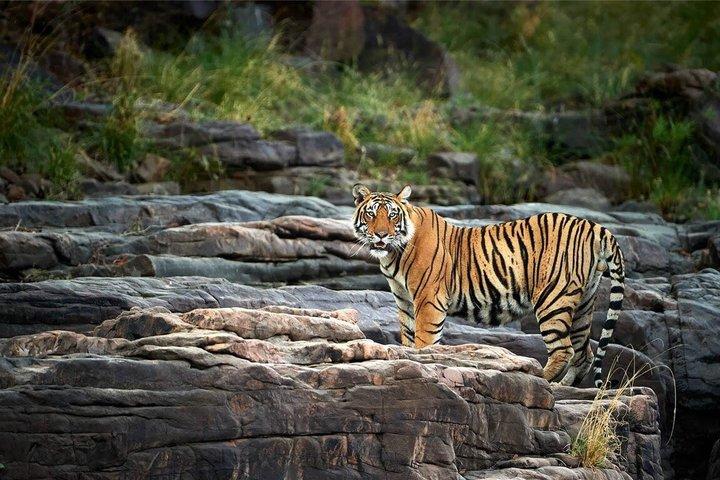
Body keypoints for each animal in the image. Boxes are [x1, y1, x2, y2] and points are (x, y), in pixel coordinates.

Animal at [351, 183, 625, 387]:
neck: (393, 254)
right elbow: (408, 340)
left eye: (392, 215)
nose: (381, 235)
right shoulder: (406, 302)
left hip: (553, 298)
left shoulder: (428, 300)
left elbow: (424, 342)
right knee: (584, 352)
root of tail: (595, 226)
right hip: (583, 303)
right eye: (371, 214)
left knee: (564, 350)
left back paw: (540, 379)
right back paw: (563, 386)